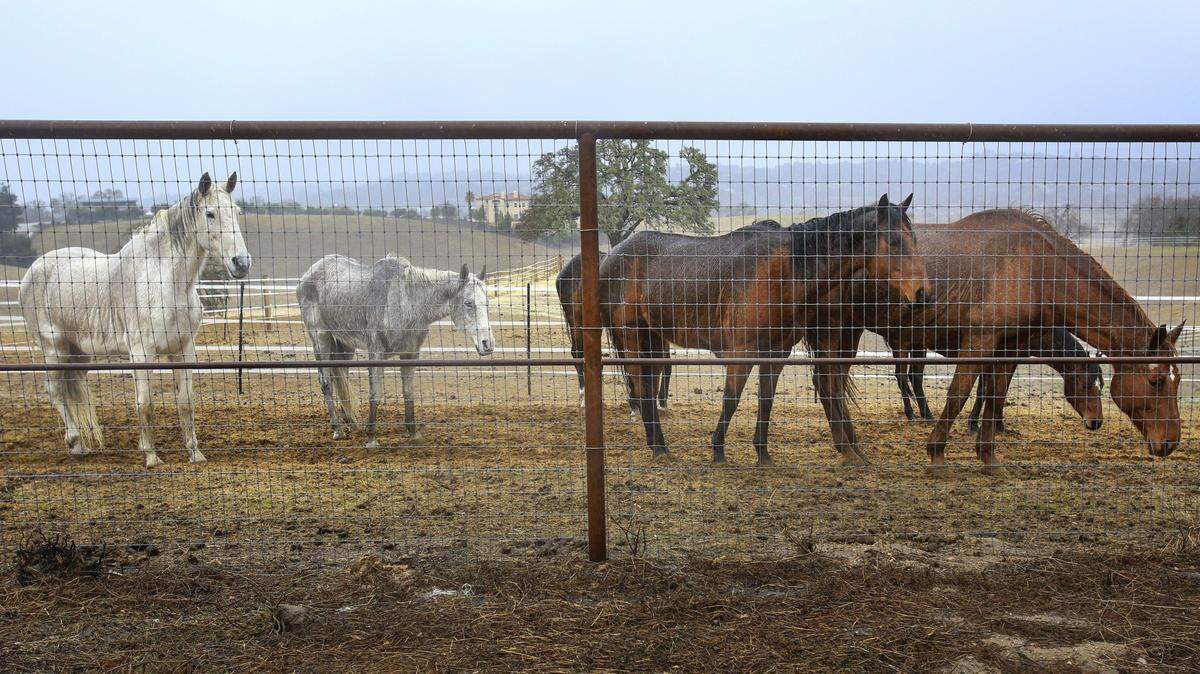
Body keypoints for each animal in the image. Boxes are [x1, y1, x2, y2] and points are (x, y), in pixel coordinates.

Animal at [19, 173, 250, 467]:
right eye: (210, 213)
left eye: (237, 212)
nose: (241, 263)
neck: (166, 283)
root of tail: (34, 269)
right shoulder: (142, 353)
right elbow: (145, 404)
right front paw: (151, 456)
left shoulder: (183, 349)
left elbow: (185, 402)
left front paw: (194, 453)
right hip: (54, 349)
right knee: (56, 391)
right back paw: (75, 442)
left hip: (79, 352)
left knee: (75, 388)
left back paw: (84, 443)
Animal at [297, 254, 495, 448]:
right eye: (468, 303)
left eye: (487, 303)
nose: (488, 344)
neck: (405, 301)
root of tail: (308, 273)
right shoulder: (376, 354)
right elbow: (375, 394)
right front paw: (371, 439)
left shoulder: (410, 355)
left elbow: (408, 393)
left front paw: (414, 434)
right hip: (321, 339)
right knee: (326, 382)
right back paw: (338, 429)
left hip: (345, 346)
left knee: (342, 379)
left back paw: (352, 424)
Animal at [600, 195, 929, 465]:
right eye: (894, 241)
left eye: (914, 239)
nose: (923, 294)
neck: (784, 273)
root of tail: (611, 256)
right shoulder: (742, 353)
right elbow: (731, 399)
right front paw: (718, 451)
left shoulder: (776, 353)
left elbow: (766, 400)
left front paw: (762, 453)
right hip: (632, 336)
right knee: (642, 388)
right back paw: (659, 447)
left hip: (653, 338)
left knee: (648, 386)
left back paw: (658, 445)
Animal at [890, 326, 1103, 434]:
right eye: (1085, 385)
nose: (1096, 422)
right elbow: (984, 391)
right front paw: (974, 425)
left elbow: (1000, 390)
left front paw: (998, 425)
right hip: (903, 344)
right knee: (902, 377)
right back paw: (911, 414)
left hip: (917, 345)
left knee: (914, 378)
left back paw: (926, 415)